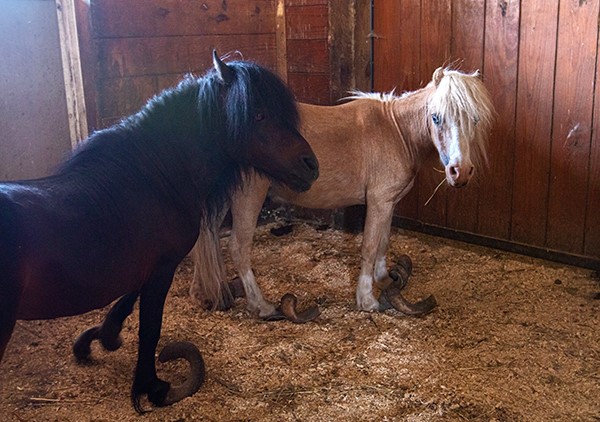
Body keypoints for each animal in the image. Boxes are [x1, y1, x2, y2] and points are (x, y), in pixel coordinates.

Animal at [0, 52, 318, 412]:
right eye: (259, 114)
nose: (311, 165)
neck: (152, 180)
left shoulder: (145, 267)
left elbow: (127, 299)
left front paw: (101, 338)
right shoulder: (163, 268)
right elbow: (149, 329)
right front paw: (152, 387)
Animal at [190, 67, 494, 320]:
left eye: (474, 119)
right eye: (436, 117)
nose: (459, 172)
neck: (395, 132)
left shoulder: (388, 202)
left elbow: (383, 241)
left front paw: (383, 278)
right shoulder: (378, 202)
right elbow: (369, 246)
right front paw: (366, 299)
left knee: (206, 239)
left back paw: (205, 291)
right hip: (247, 199)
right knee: (238, 249)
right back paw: (260, 305)